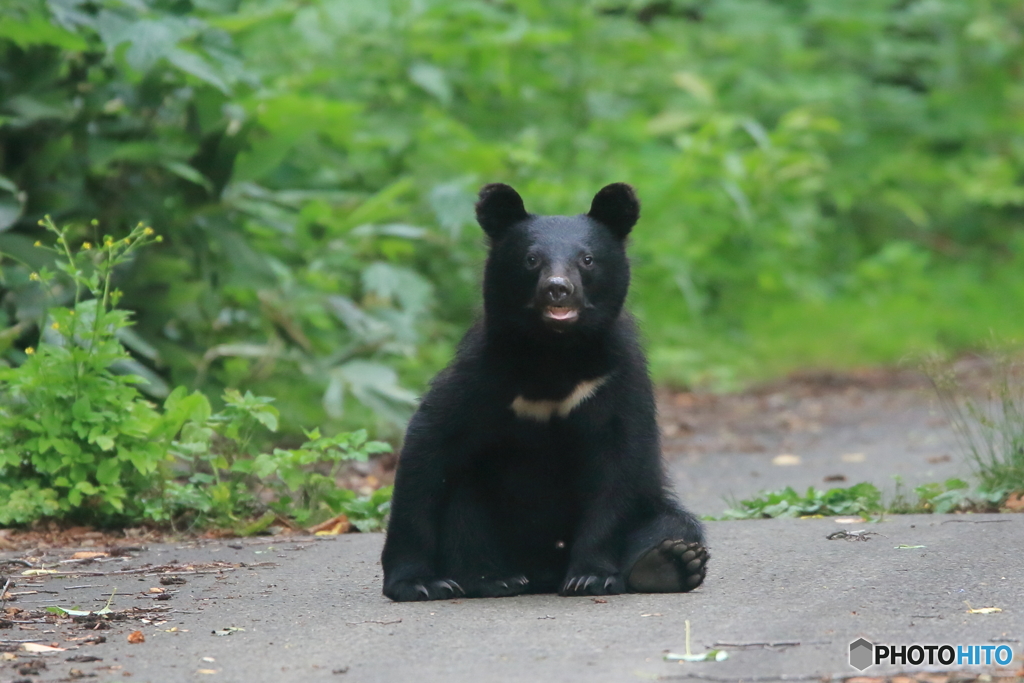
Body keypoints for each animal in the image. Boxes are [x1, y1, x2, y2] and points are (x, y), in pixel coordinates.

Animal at [380, 184, 708, 602]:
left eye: (587, 259)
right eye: (531, 259)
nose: (558, 289)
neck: (554, 353)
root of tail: (541, 573)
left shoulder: (617, 379)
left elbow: (618, 467)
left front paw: (591, 577)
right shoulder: (481, 375)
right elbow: (428, 449)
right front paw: (417, 583)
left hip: (653, 507)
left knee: (675, 523)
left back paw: (668, 563)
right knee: (462, 505)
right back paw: (494, 578)